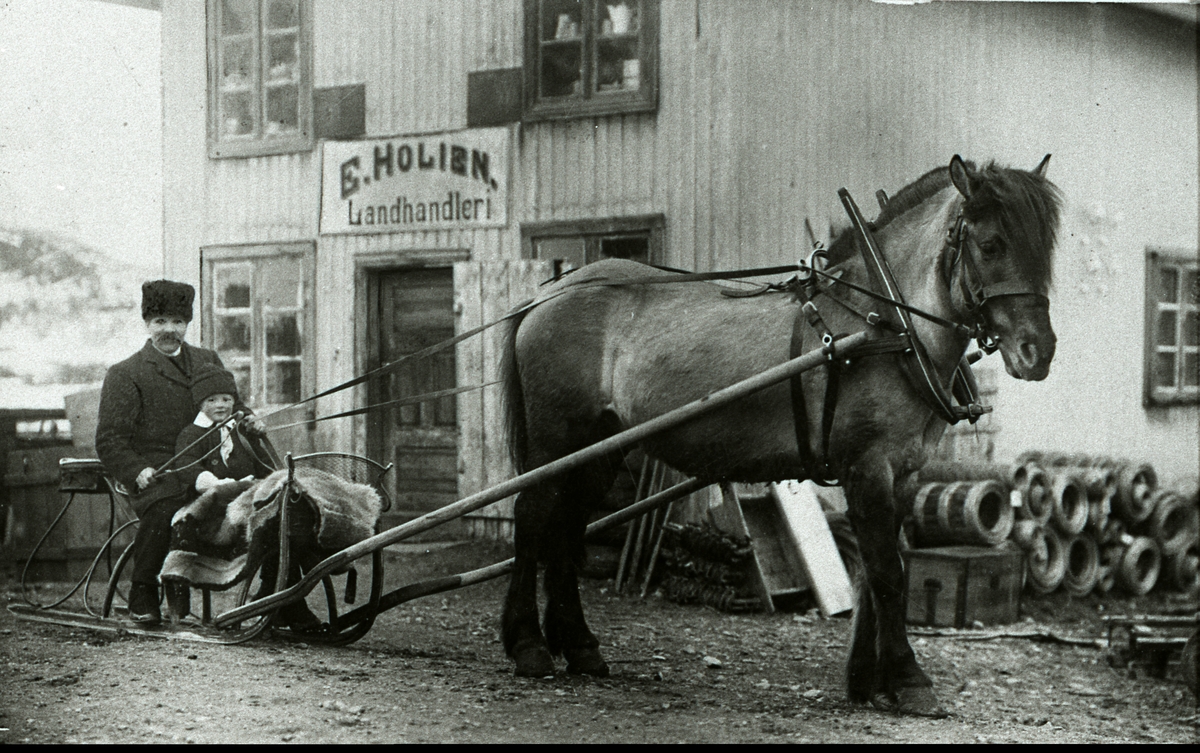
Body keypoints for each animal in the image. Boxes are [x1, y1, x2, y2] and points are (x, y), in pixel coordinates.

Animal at [494, 154, 1060, 719]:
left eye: (1045, 249)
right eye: (991, 245)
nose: (1039, 352)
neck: (887, 326)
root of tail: (550, 293)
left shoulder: (901, 473)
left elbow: (881, 570)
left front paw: (868, 680)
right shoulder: (868, 467)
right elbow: (887, 574)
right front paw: (908, 678)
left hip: (601, 447)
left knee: (567, 524)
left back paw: (580, 646)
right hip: (557, 439)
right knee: (534, 517)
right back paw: (529, 646)